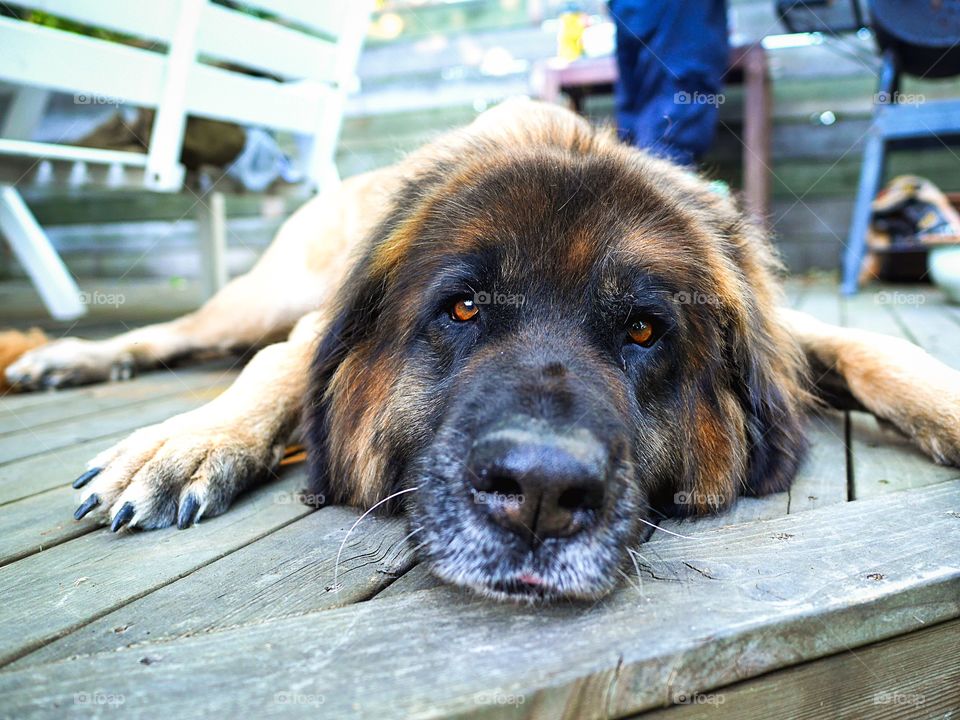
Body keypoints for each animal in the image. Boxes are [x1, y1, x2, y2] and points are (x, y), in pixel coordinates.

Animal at [7, 98, 960, 600]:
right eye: (461, 309)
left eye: (644, 330)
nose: (539, 492)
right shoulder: (309, 327)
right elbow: (279, 366)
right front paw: (190, 443)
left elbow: (874, 347)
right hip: (259, 298)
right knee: (184, 334)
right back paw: (66, 361)